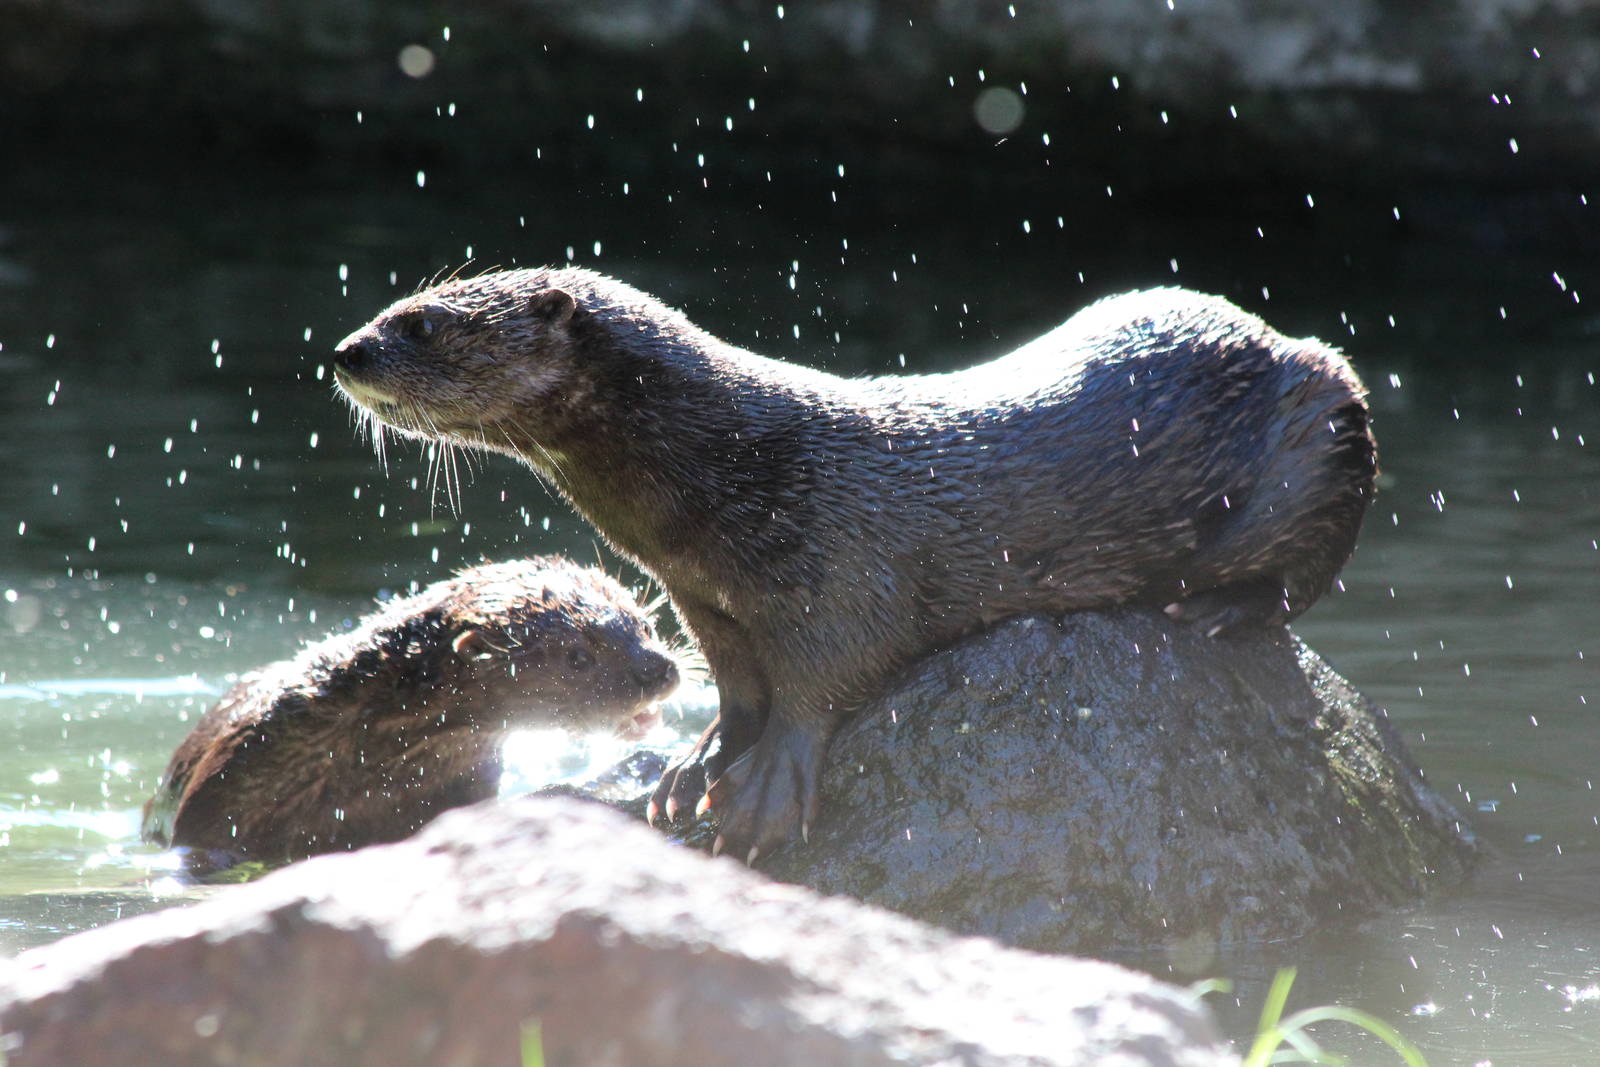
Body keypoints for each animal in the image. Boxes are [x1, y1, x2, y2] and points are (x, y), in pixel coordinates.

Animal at [331, 269, 1375, 861]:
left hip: (1328, 424)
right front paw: (698, 760)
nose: (346, 350)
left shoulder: (842, 565)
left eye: (423, 322)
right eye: (393, 305)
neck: (735, 475)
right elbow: (737, 686)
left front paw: (763, 787)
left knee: (1306, 567)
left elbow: (825, 677)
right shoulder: (706, 602)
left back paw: (1221, 609)